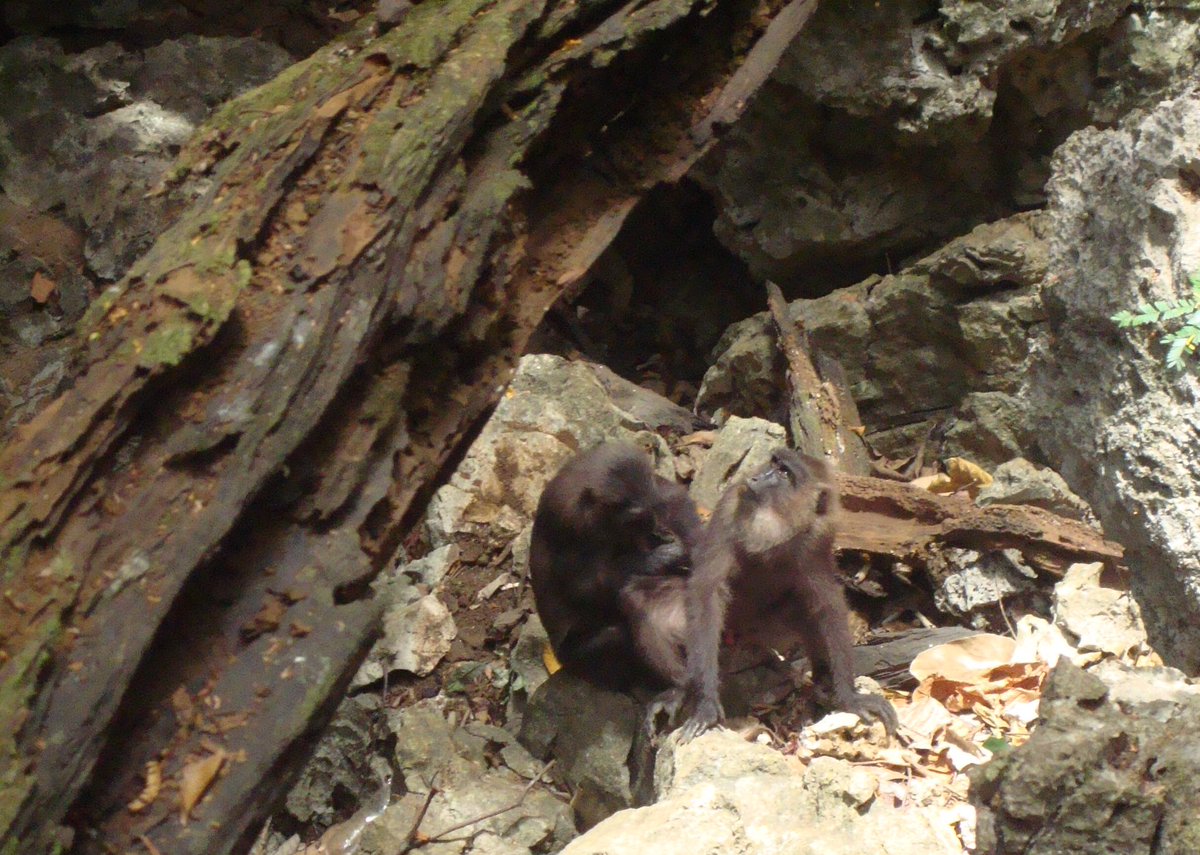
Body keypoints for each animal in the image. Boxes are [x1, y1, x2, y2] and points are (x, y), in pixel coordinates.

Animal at [529, 442, 701, 690]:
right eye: (634, 520)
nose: (655, 529)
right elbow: (587, 585)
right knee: (614, 636)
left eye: (652, 509)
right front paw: (668, 556)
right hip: (577, 660)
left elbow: (674, 496)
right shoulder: (570, 525)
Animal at [665, 448, 897, 740]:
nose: (756, 477)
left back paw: (822, 684)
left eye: (784, 473)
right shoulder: (731, 505)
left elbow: (827, 604)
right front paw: (705, 701)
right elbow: (707, 591)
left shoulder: (816, 537)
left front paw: (849, 697)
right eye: (774, 463)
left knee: (802, 608)